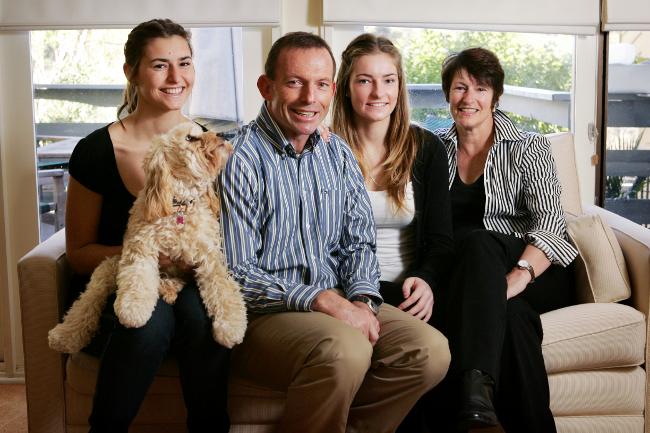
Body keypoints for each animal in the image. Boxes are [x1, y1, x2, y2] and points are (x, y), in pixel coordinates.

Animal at [47, 120, 246, 352]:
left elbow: (224, 290)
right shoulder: (140, 249)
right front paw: (133, 310)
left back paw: (168, 287)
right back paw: (65, 334)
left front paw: (231, 327)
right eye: (190, 138)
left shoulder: (210, 259)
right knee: (87, 301)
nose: (222, 135)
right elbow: (138, 280)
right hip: (109, 268)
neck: (179, 205)